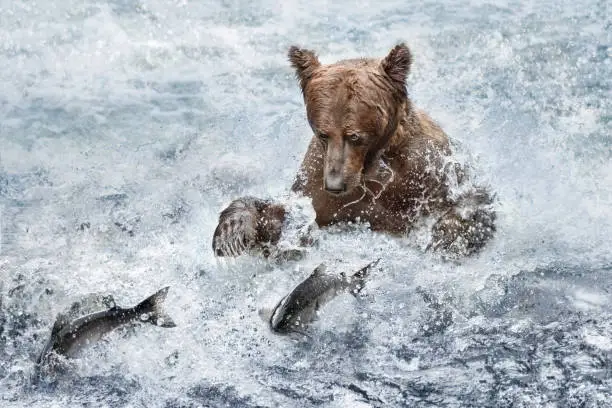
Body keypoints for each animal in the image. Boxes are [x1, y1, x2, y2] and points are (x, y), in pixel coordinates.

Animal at [213, 43, 494, 260]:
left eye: (355, 136)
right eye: (322, 133)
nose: (335, 184)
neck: (369, 169)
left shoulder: (426, 173)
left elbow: (471, 202)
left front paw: (448, 235)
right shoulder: (319, 186)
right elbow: (288, 215)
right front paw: (232, 231)